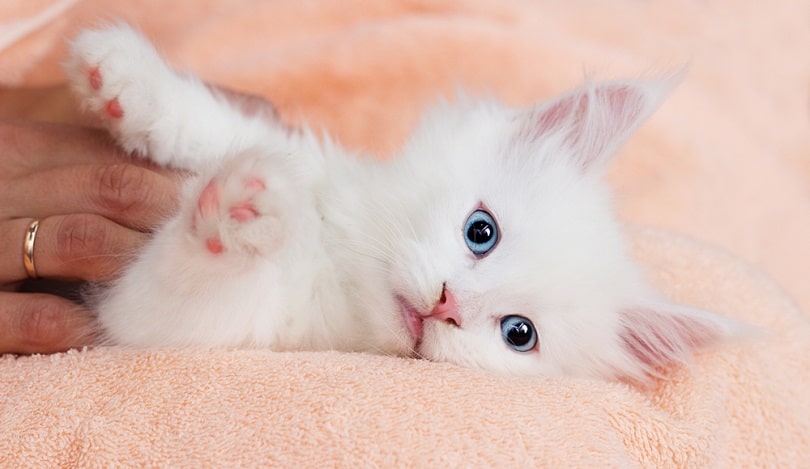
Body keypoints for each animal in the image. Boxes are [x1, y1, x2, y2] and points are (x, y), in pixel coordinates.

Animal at [66, 25, 740, 380]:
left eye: (518, 334)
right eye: (481, 232)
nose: (447, 305)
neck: (342, 275)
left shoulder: (182, 326)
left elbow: (192, 279)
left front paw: (239, 219)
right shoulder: (313, 162)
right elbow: (222, 127)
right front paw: (124, 79)